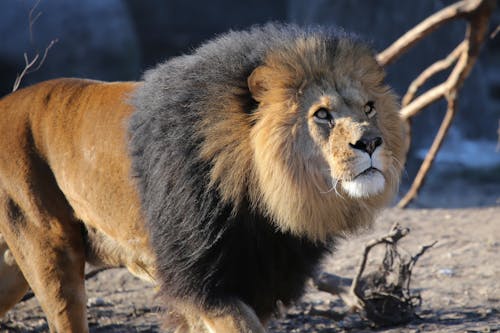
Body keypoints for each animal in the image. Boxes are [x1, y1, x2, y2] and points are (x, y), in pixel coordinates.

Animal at [0, 24, 406, 330]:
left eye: (369, 107)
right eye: (322, 114)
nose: (371, 141)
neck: (268, 201)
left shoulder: (258, 281)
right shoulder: (201, 283)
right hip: (50, 249)